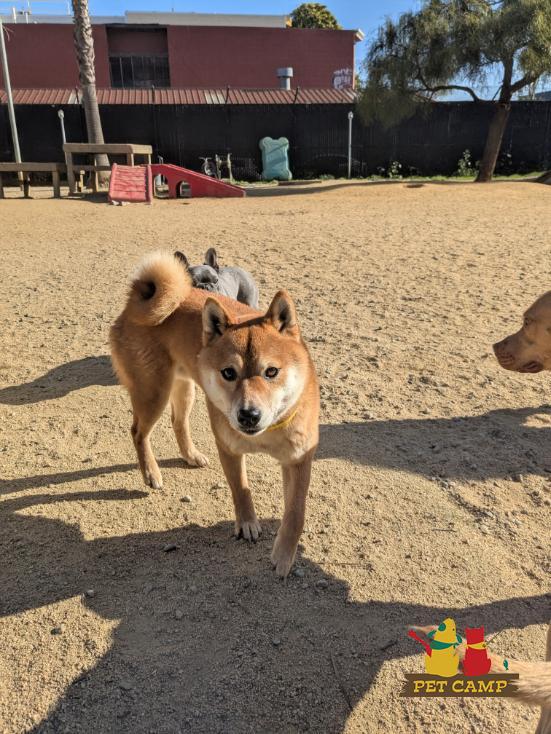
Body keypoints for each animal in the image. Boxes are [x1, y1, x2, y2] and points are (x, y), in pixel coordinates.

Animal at [110, 252, 319, 577]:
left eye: (271, 371)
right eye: (228, 373)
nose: (248, 415)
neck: (267, 434)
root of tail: (133, 306)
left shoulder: (298, 459)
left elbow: (296, 513)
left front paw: (284, 557)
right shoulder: (229, 449)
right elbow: (241, 489)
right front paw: (247, 524)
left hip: (184, 389)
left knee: (178, 422)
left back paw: (191, 455)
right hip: (153, 392)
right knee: (138, 432)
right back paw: (151, 473)